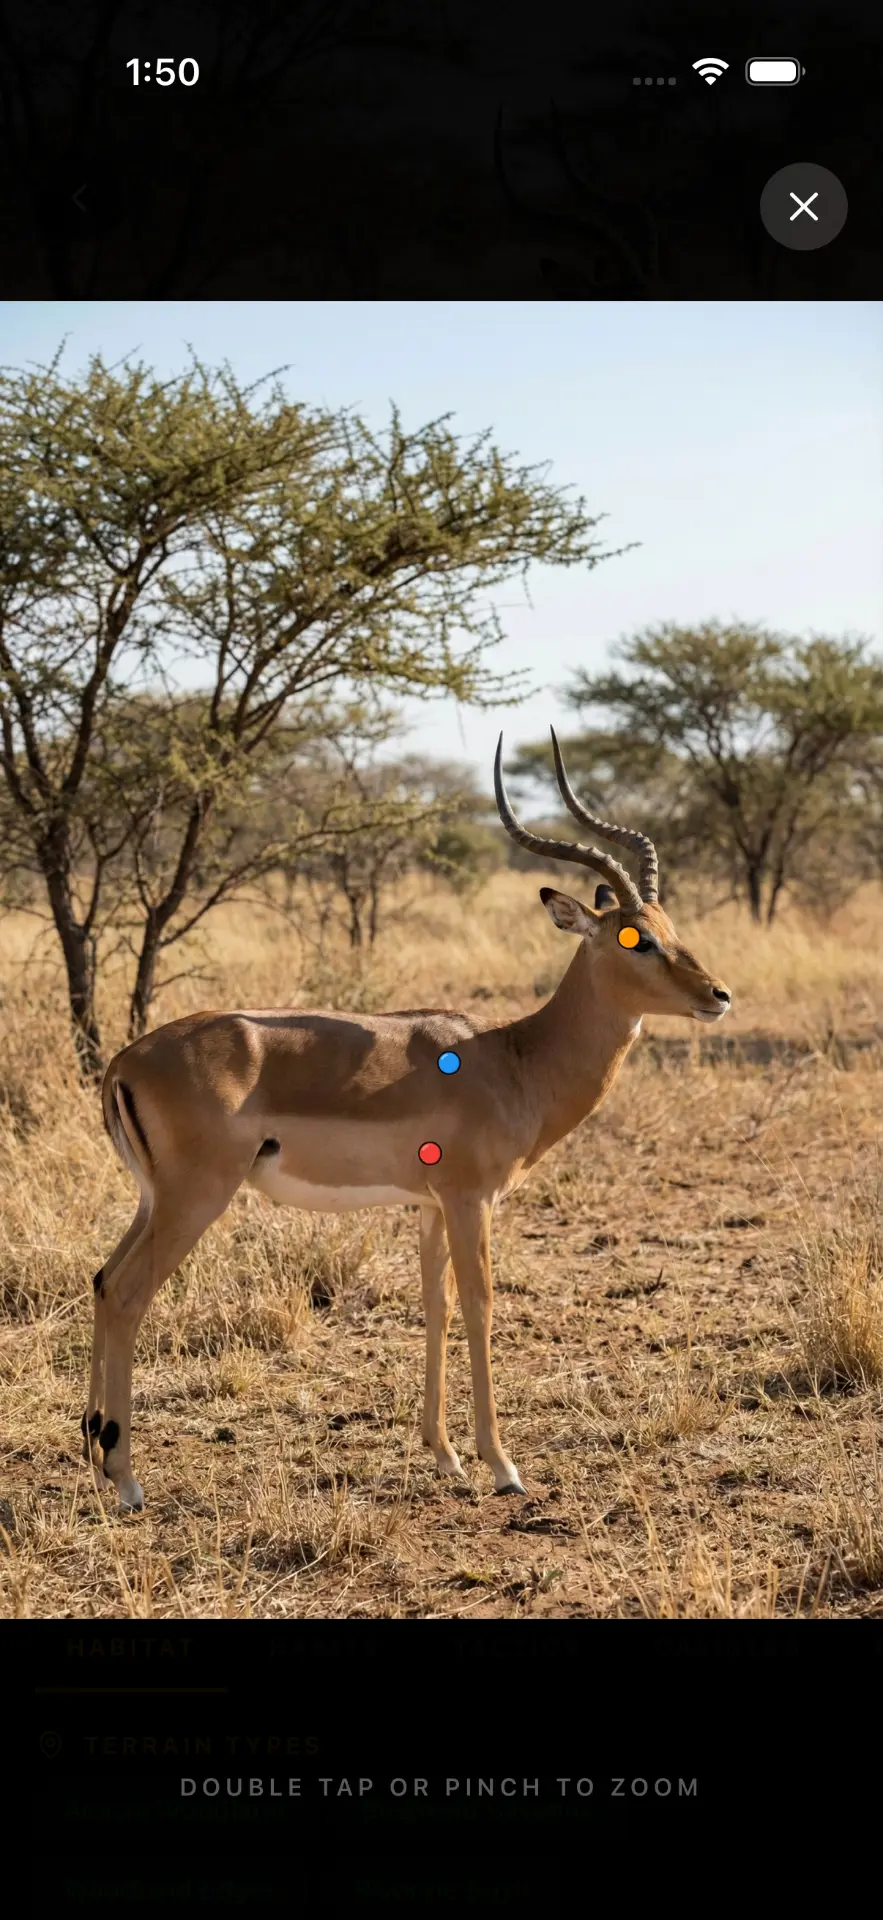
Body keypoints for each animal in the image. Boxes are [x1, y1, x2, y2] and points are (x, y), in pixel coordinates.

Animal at [82, 729, 731, 1510]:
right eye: (636, 938)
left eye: (671, 927)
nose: (718, 994)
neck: (516, 1058)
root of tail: (124, 1060)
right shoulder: (472, 1199)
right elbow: (481, 1304)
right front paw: (503, 1467)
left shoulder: (429, 1205)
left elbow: (436, 1304)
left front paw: (445, 1456)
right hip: (195, 1199)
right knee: (127, 1293)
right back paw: (126, 1480)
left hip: (154, 1199)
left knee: (101, 1279)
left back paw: (93, 1454)